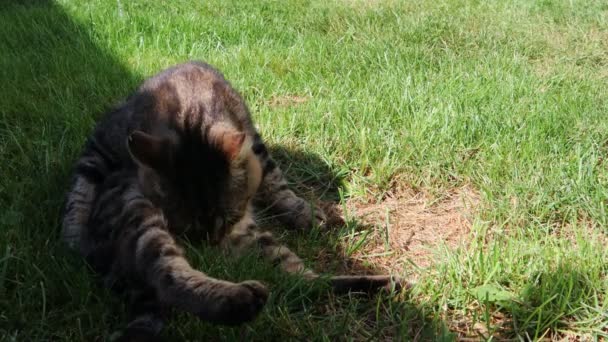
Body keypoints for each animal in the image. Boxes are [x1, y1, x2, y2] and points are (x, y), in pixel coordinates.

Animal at [63, 61, 404, 340]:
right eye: (185, 229)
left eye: (226, 218)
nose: (211, 246)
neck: (189, 108)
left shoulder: (254, 144)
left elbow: (277, 183)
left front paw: (305, 213)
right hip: (139, 217)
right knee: (165, 274)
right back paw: (240, 300)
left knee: (306, 282)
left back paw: (382, 285)